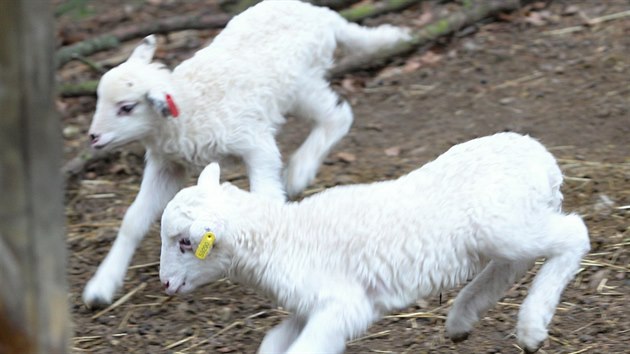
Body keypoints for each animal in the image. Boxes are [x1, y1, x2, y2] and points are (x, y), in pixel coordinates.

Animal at [82, 0, 410, 306]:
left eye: (126, 107)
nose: (93, 137)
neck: (189, 106)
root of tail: (320, 13)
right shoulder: (167, 164)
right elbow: (133, 219)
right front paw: (102, 285)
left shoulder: (253, 140)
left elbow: (266, 193)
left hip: (301, 84)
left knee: (338, 116)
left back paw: (300, 170)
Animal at [159, 133, 592, 354]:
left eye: (185, 243)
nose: (165, 283)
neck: (281, 236)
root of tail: (544, 160)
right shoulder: (313, 306)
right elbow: (273, 343)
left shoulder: (344, 305)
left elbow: (305, 348)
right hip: (504, 228)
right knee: (512, 263)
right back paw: (462, 318)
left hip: (502, 223)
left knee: (572, 234)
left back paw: (531, 327)